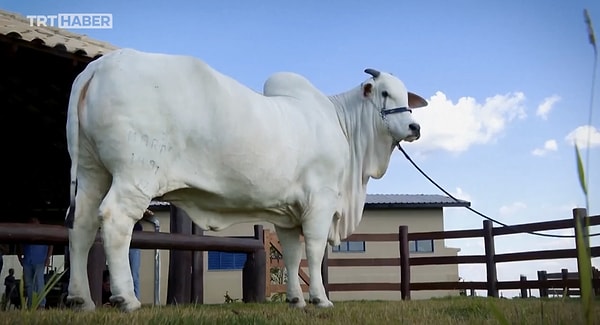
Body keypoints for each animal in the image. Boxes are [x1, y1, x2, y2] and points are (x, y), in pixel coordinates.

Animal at [64, 48, 426, 312]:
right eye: (383, 93)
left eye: (405, 97)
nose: (414, 127)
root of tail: (100, 65)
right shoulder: (321, 202)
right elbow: (313, 250)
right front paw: (320, 299)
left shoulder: (288, 213)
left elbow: (291, 254)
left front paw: (295, 300)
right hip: (135, 175)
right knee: (115, 220)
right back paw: (126, 298)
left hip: (92, 172)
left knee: (81, 224)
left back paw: (81, 299)